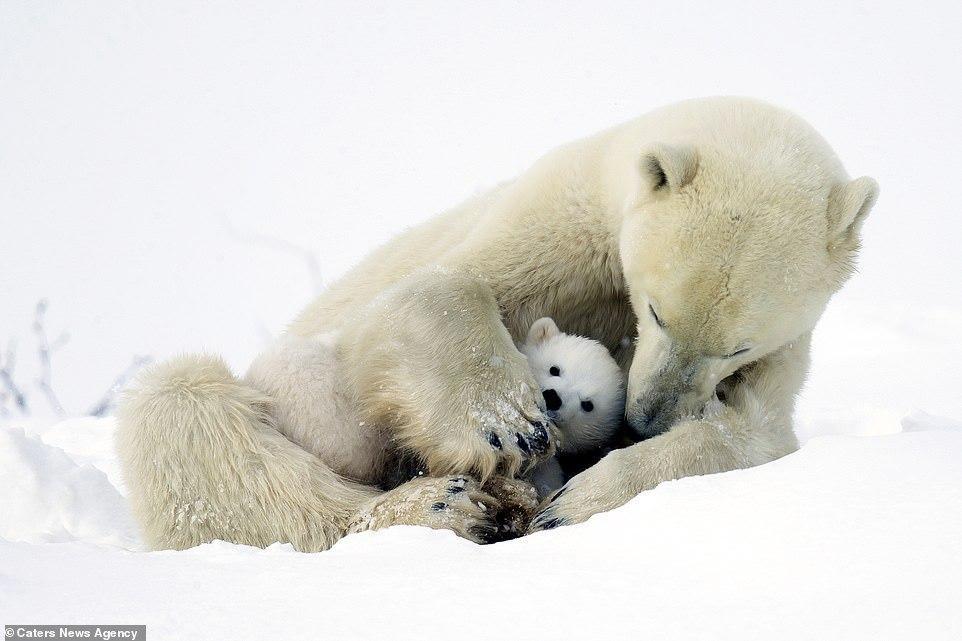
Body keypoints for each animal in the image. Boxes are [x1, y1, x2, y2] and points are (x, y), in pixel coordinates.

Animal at [116, 96, 872, 552]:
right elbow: (418, 295)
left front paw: (580, 497)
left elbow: (751, 434)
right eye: (657, 308)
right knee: (186, 411)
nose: (648, 417)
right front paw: (505, 425)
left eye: (739, 346)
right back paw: (439, 506)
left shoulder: (784, 356)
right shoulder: (562, 222)